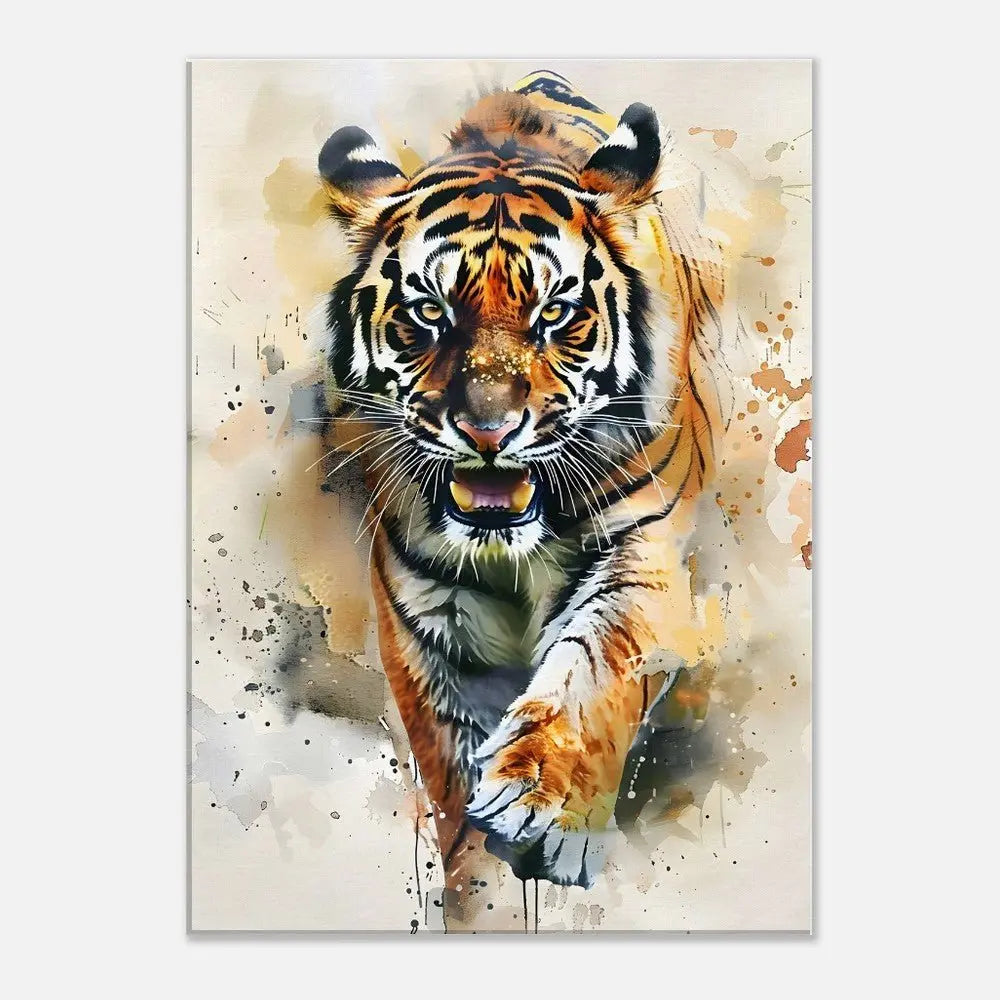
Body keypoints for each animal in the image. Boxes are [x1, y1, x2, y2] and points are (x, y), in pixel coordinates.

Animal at [315, 70, 733, 892]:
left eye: (555, 313)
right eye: (429, 312)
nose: (488, 430)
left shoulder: (642, 549)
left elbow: (598, 667)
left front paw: (541, 796)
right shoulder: (426, 604)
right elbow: (445, 753)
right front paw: (471, 862)